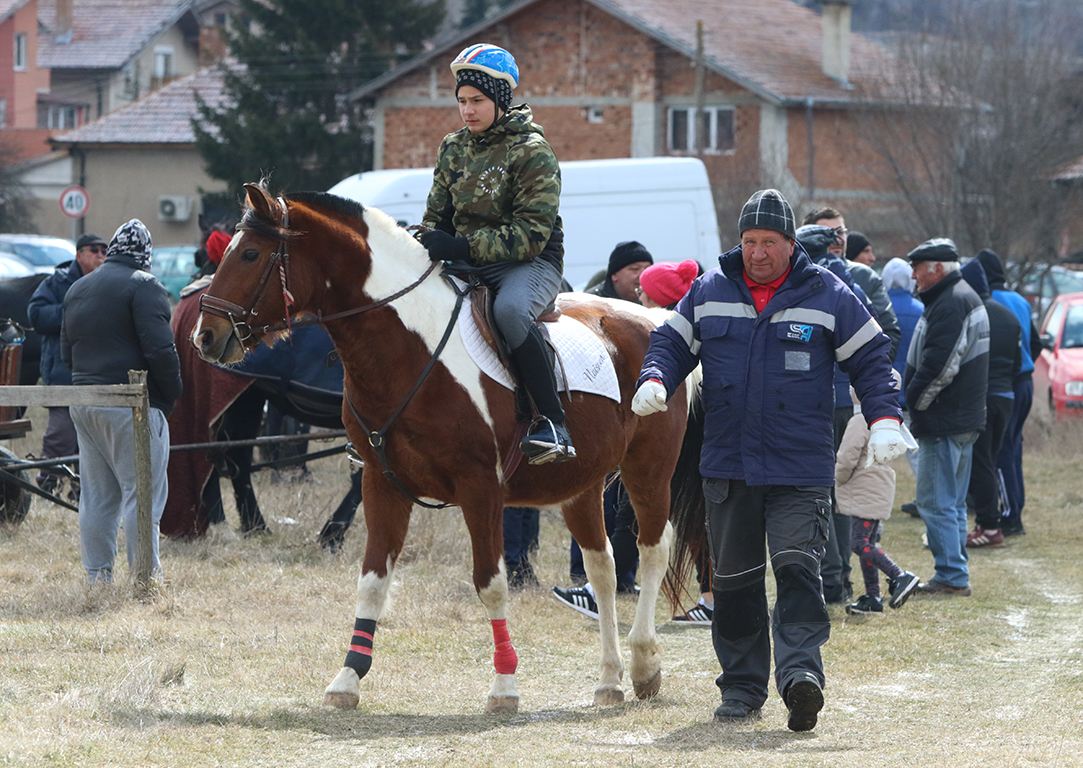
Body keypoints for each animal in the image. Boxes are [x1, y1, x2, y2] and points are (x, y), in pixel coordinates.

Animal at [192, 183, 701, 714]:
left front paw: (504, 685)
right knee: (602, 569)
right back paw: (609, 679)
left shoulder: (481, 489)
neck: (408, 349)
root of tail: (655, 316)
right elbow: (371, 582)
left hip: (648, 471)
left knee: (651, 550)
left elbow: (491, 584)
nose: (204, 335)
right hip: (581, 486)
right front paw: (348, 678)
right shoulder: (381, 483)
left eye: (251, 254)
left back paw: (644, 663)